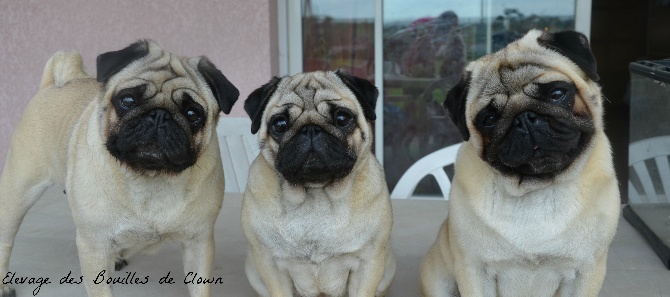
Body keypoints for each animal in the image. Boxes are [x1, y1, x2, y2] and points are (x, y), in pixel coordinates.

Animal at [0, 40, 240, 296]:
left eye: (193, 113)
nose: (159, 115)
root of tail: (52, 84)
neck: (151, 177)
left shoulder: (198, 242)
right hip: (17, 194)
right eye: (128, 101)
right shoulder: (94, 246)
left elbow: (200, 288)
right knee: (5, 240)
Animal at [244, 70, 396, 296]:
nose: (310, 129)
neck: (315, 195)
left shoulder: (368, 263)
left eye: (342, 118)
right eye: (279, 124)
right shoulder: (270, 265)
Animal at [422, 30, 624, 296]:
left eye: (557, 94)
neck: (535, 190)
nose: (525, 119)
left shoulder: (587, 270)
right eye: (489, 119)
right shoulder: (474, 269)